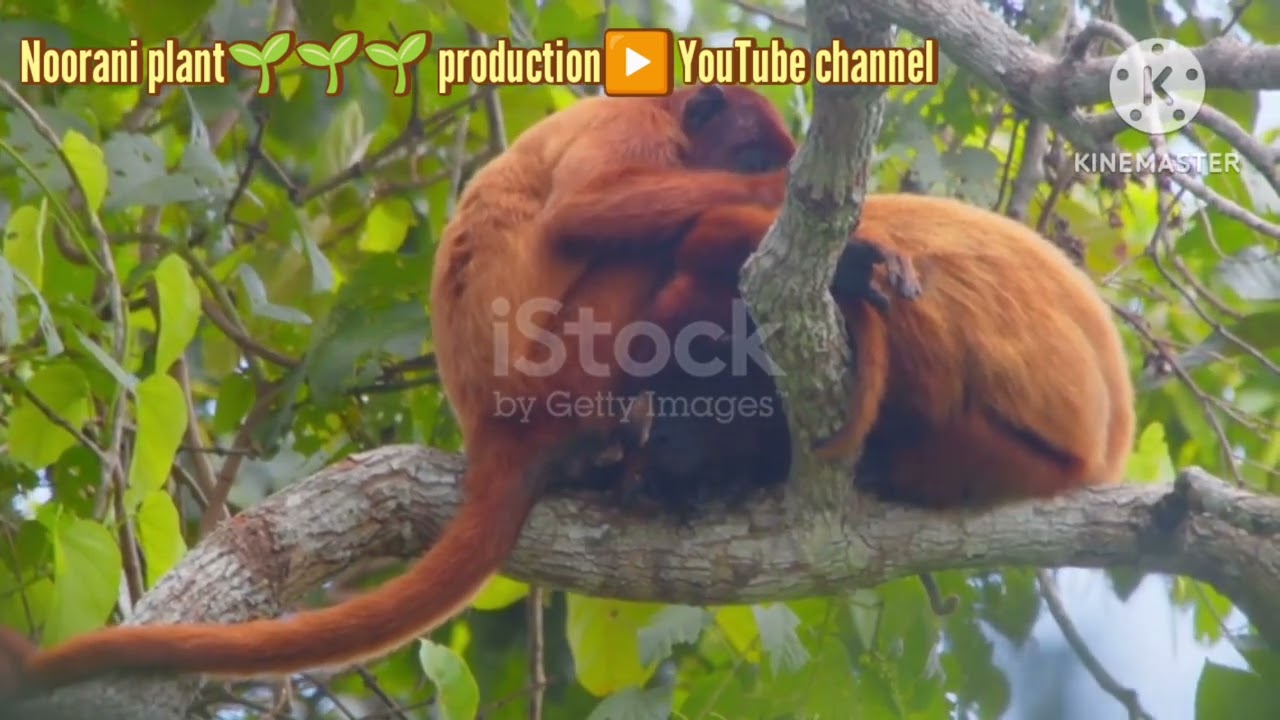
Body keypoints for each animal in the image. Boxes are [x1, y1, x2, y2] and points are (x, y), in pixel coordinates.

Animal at [0, 84, 799, 700]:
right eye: (754, 156)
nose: (772, 171)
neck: (668, 111)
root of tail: (494, 428)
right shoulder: (635, 132)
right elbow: (585, 209)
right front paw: (776, 200)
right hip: (572, 363)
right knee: (646, 245)